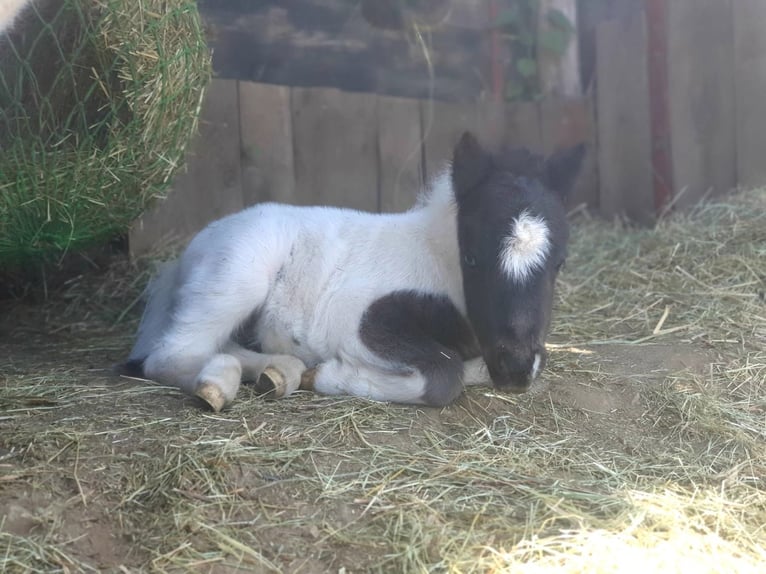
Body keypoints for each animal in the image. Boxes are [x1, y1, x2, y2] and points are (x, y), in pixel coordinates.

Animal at [120, 132, 585, 412]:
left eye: (559, 261)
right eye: (471, 258)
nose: (516, 370)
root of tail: (183, 258)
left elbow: (467, 368)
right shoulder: (360, 323)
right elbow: (444, 375)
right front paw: (330, 376)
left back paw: (278, 373)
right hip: (239, 275)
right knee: (172, 353)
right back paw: (221, 384)